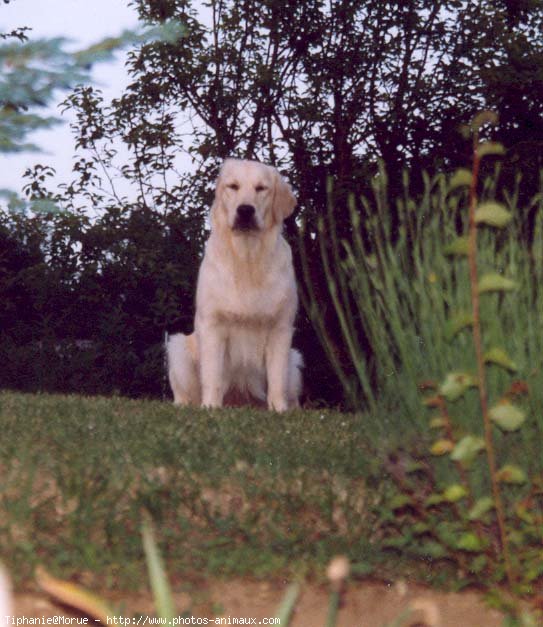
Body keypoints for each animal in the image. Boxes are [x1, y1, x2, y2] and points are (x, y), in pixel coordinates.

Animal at [167, 158, 302, 412]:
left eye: (261, 188)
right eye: (233, 186)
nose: (245, 210)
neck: (246, 260)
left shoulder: (281, 327)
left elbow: (277, 378)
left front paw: (279, 410)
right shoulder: (212, 324)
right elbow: (212, 375)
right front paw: (211, 407)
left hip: (295, 358)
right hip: (178, 347)